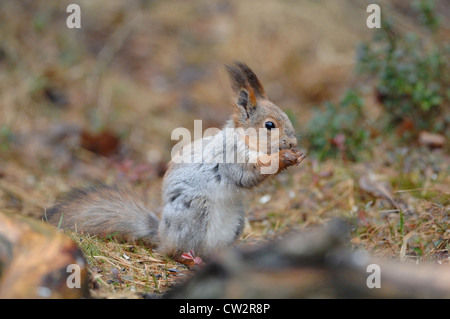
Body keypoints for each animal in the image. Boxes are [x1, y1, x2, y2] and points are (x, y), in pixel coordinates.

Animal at [46, 61, 306, 262]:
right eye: (269, 125)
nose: (293, 142)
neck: (246, 141)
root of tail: (161, 235)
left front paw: (298, 155)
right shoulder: (229, 158)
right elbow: (247, 176)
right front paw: (283, 157)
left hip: (238, 220)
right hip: (193, 212)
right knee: (175, 251)